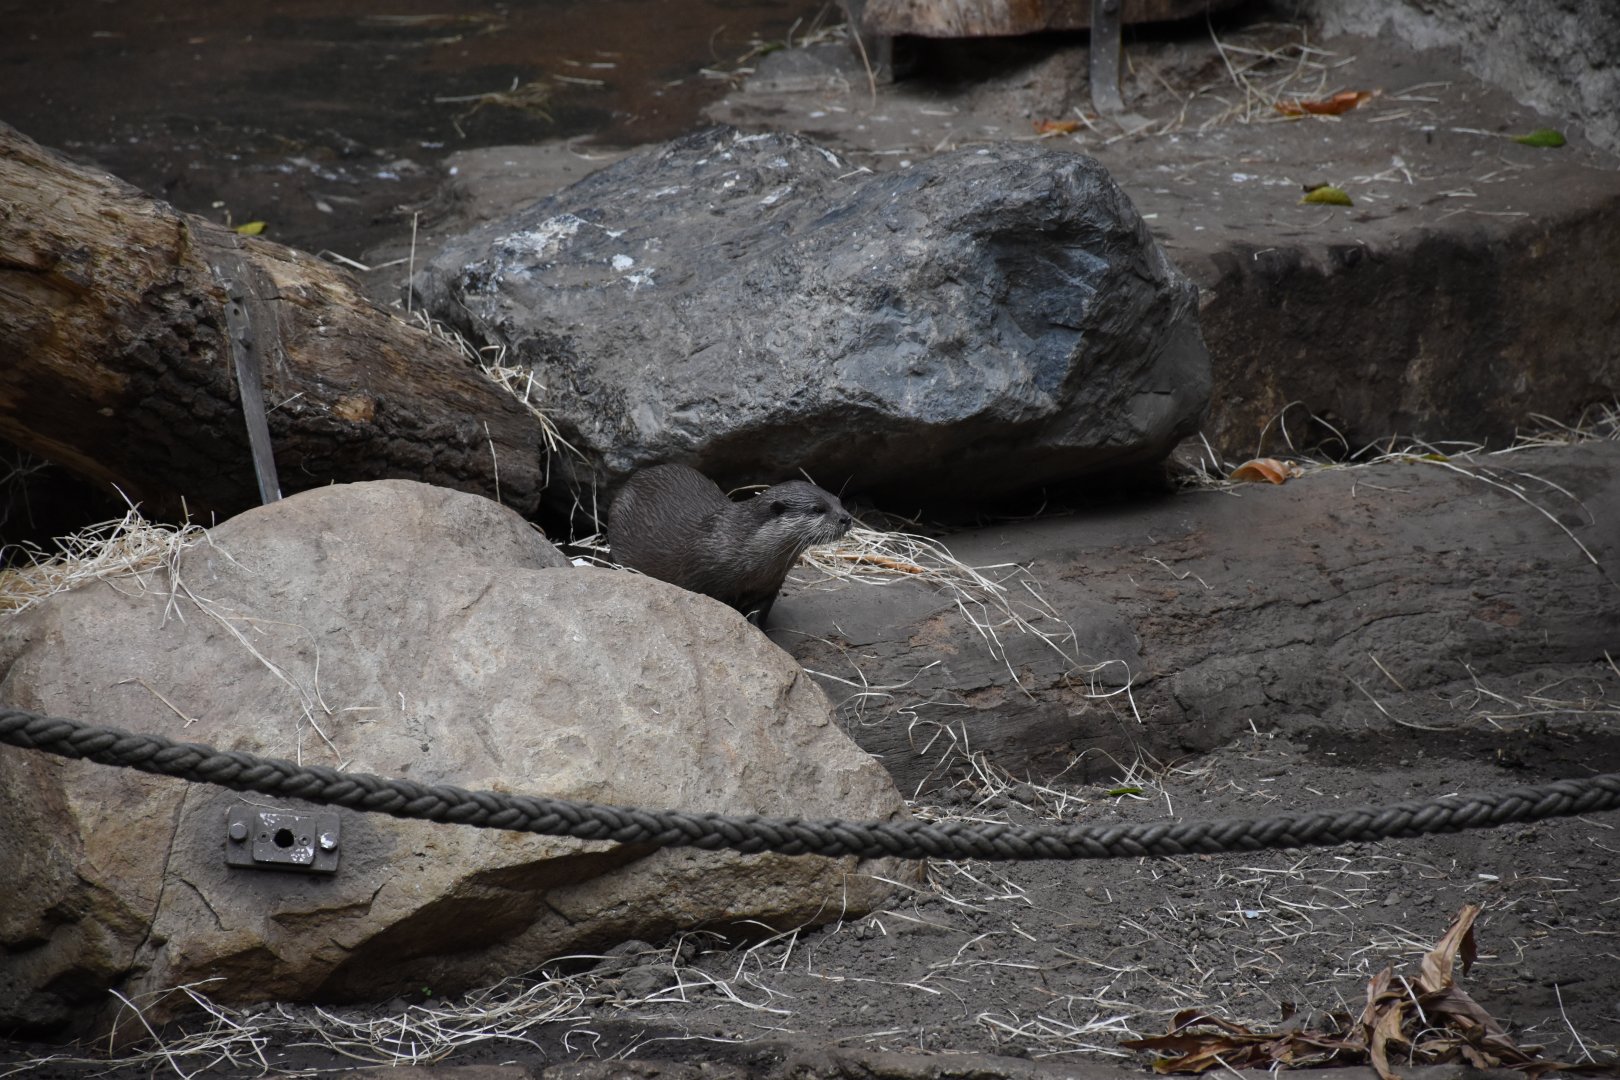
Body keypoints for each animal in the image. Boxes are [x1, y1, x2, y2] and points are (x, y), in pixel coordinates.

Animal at [608, 463, 854, 627]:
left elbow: (758, 614)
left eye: (838, 501)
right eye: (818, 509)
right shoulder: (707, 581)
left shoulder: (769, 586)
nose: (846, 518)